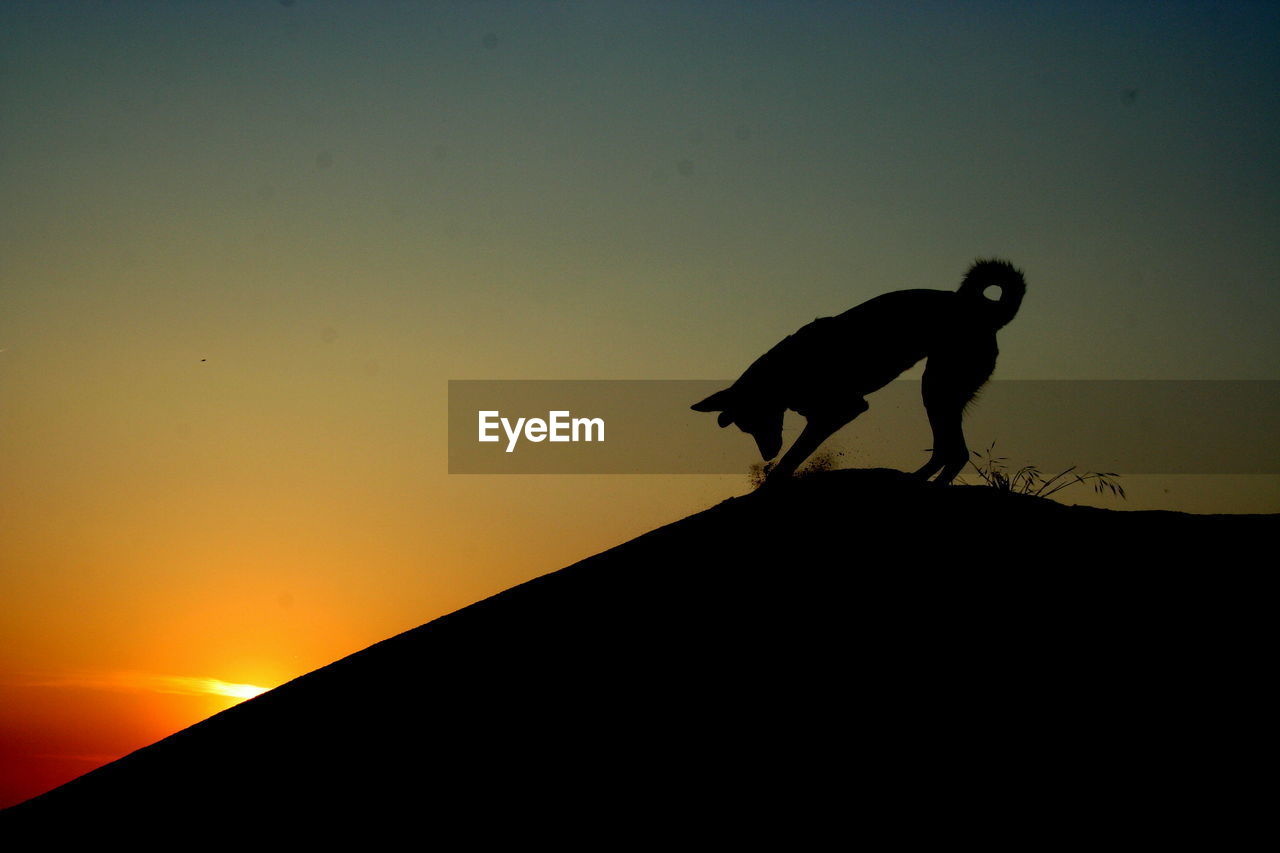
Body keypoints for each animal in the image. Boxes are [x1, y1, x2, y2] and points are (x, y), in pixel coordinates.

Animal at [696, 258, 1024, 481]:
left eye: (756, 421)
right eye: (746, 429)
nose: (767, 455)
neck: (787, 369)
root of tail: (986, 313)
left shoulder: (842, 410)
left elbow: (795, 454)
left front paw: (774, 476)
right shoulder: (820, 416)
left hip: (937, 388)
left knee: (955, 452)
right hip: (942, 393)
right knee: (950, 450)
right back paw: (917, 478)